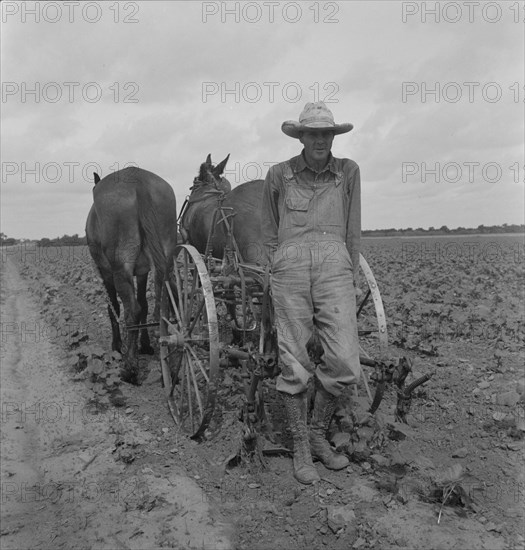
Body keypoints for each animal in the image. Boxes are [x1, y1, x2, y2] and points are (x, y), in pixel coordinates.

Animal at [84, 166, 176, 386]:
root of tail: (138, 179)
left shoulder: (106, 272)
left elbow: (114, 308)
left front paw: (117, 346)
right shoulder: (143, 272)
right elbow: (144, 304)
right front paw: (145, 345)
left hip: (120, 266)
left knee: (131, 310)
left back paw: (129, 368)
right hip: (165, 256)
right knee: (162, 304)